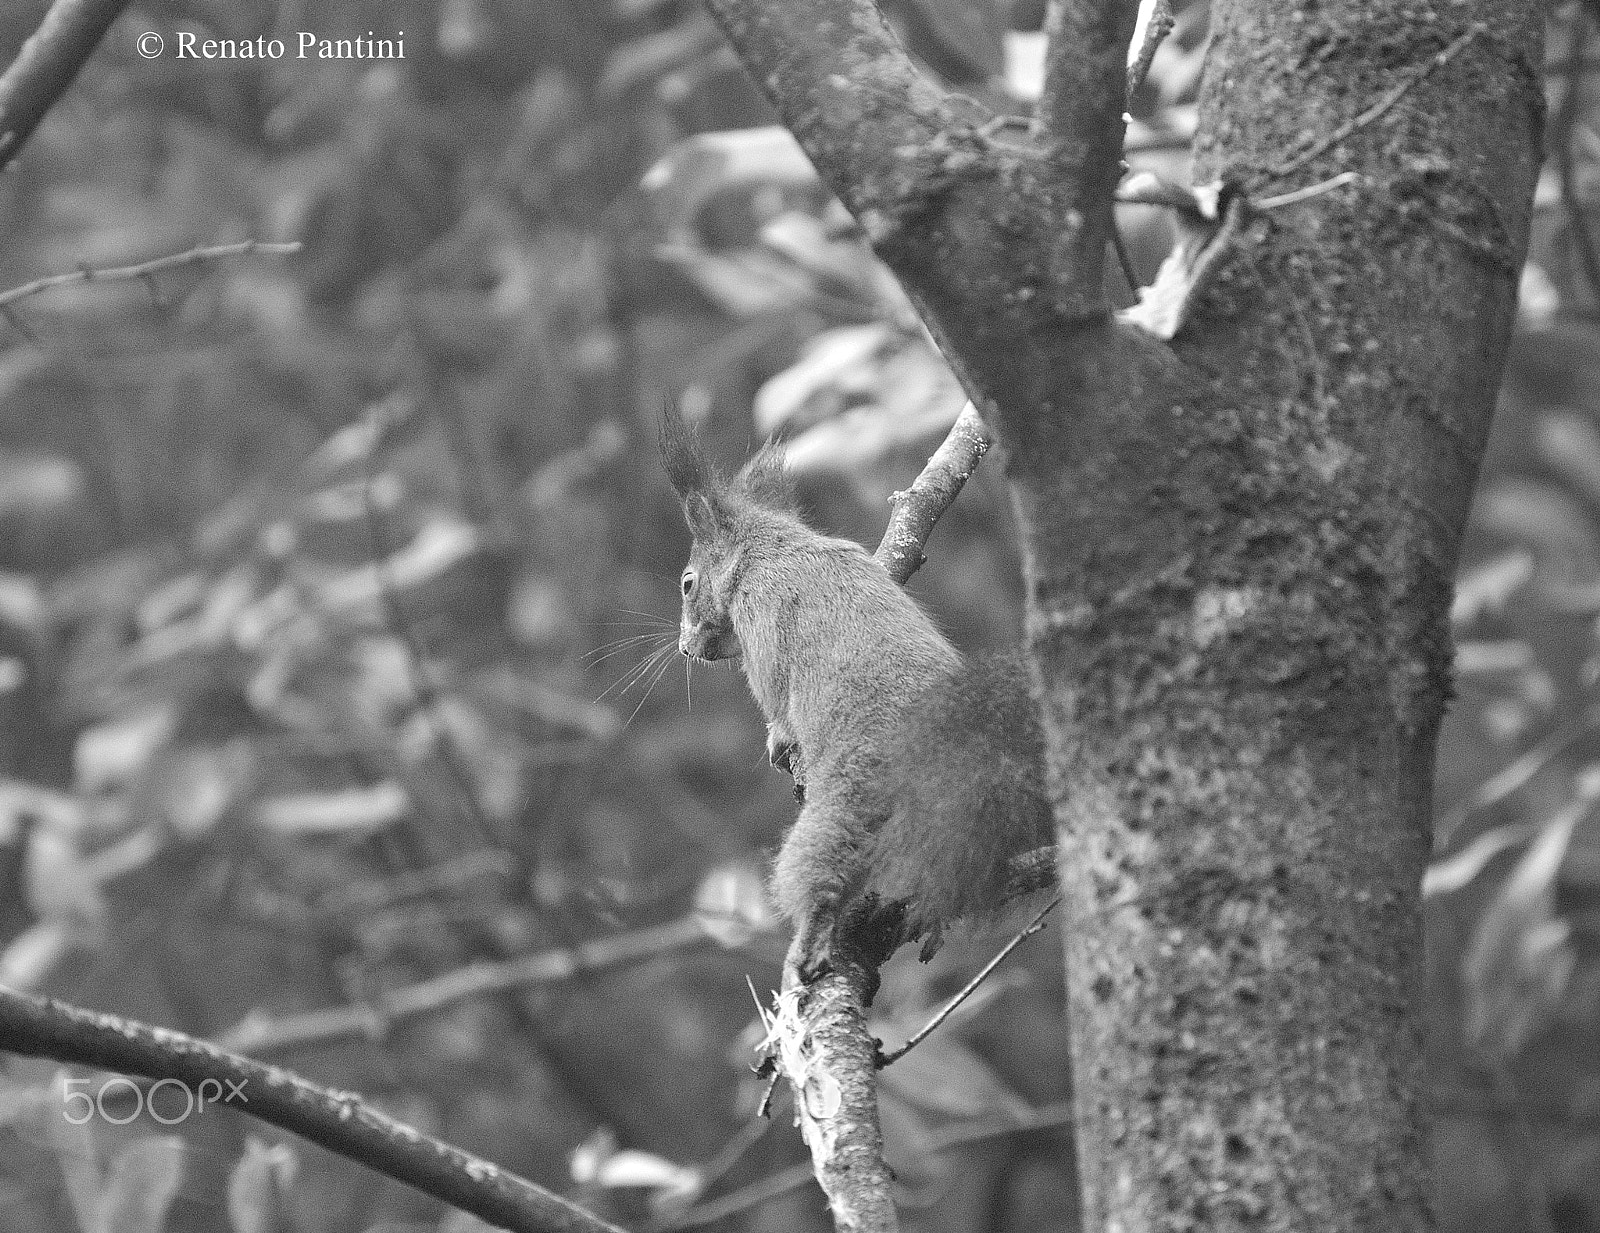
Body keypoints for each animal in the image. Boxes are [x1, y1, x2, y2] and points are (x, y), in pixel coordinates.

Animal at [661, 414, 1054, 975]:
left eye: (688, 584)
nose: (684, 647)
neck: (773, 548)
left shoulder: (763, 624)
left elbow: (777, 701)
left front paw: (778, 738)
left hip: (853, 796)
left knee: (822, 869)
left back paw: (811, 939)